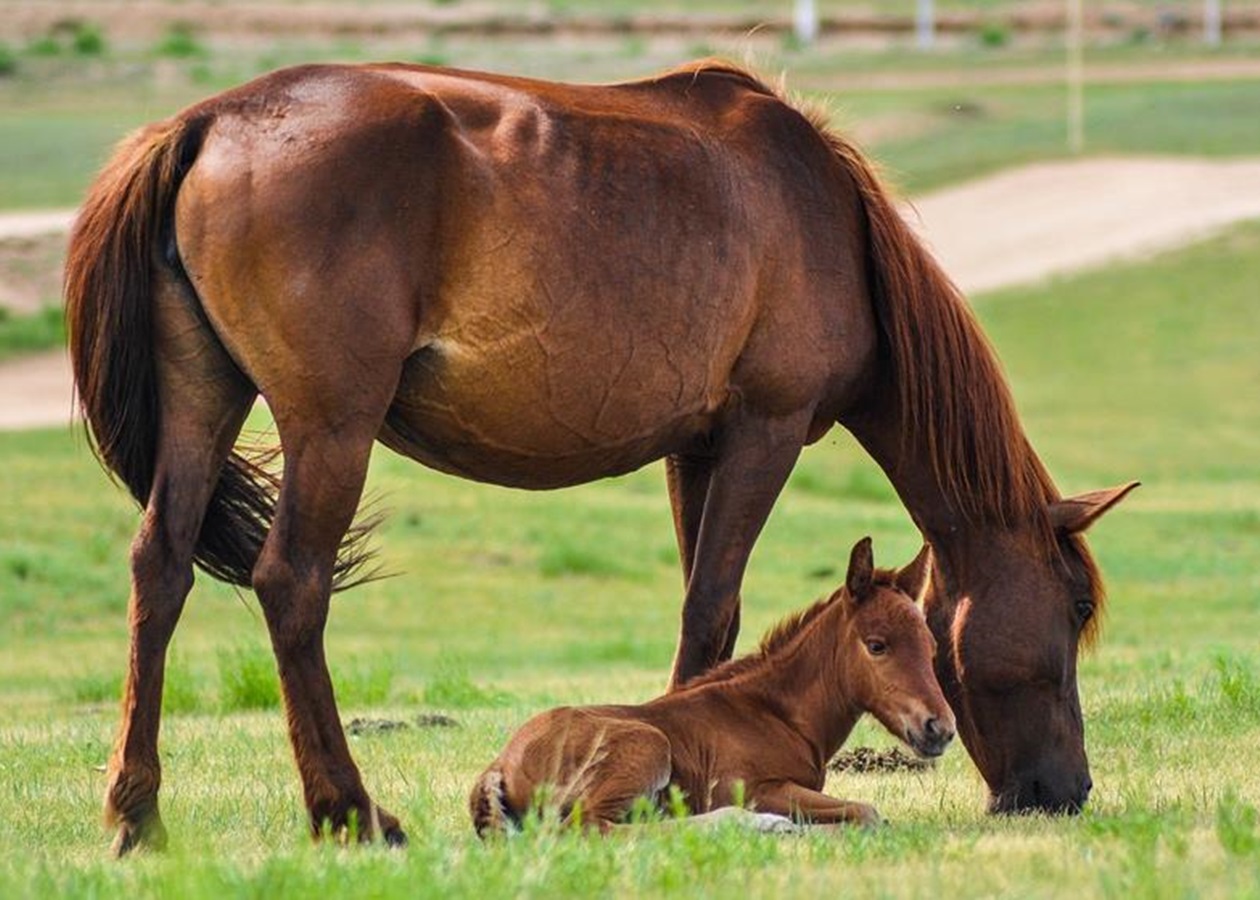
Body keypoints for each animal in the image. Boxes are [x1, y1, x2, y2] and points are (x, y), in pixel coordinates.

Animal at [473, 531, 952, 831]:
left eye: (931, 645)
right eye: (877, 645)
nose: (940, 729)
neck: (777, 714)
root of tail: (499, 765)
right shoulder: (750, 788)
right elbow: (866, 813)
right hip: (646, 746)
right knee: (591, 827)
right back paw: (754, 824)